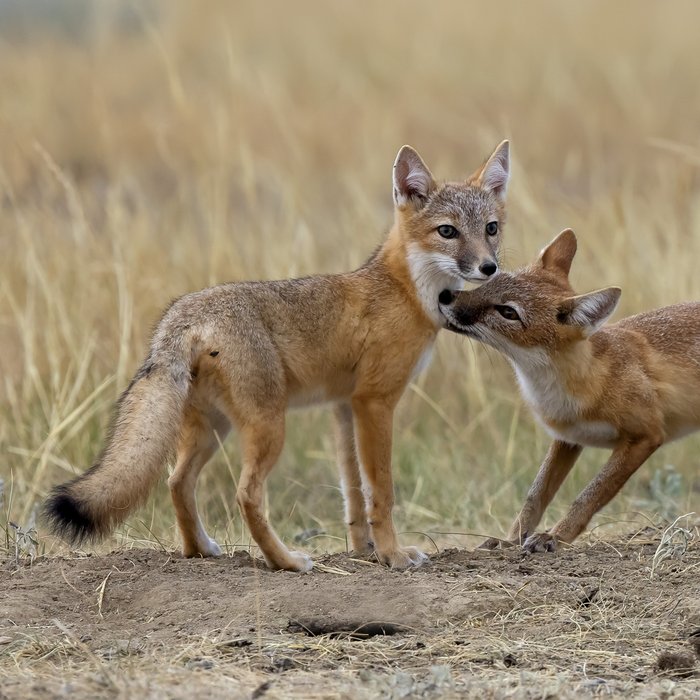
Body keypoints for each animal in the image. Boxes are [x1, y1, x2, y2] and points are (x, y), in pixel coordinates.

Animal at [44, 140, 510, 571]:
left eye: (491, 228)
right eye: (447, 232)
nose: (489, 267)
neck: (406, 290)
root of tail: (184, 312)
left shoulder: (344, 406)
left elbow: (353, 494)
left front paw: (364, 551)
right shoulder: (374, 402)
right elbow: (382, 491)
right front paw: (393, 555)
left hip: (212, 429)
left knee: (177, 482)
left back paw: (199, 549)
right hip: (268, 427)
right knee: (246, 494)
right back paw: (285, 561)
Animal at [438, 228, 700, 552]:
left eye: (508, 312)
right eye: (489, 282)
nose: (445, 295)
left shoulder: (645, 436)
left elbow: (589, 495)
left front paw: (555, 536)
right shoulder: (566, 438)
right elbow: (535, 496)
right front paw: (511, 540)